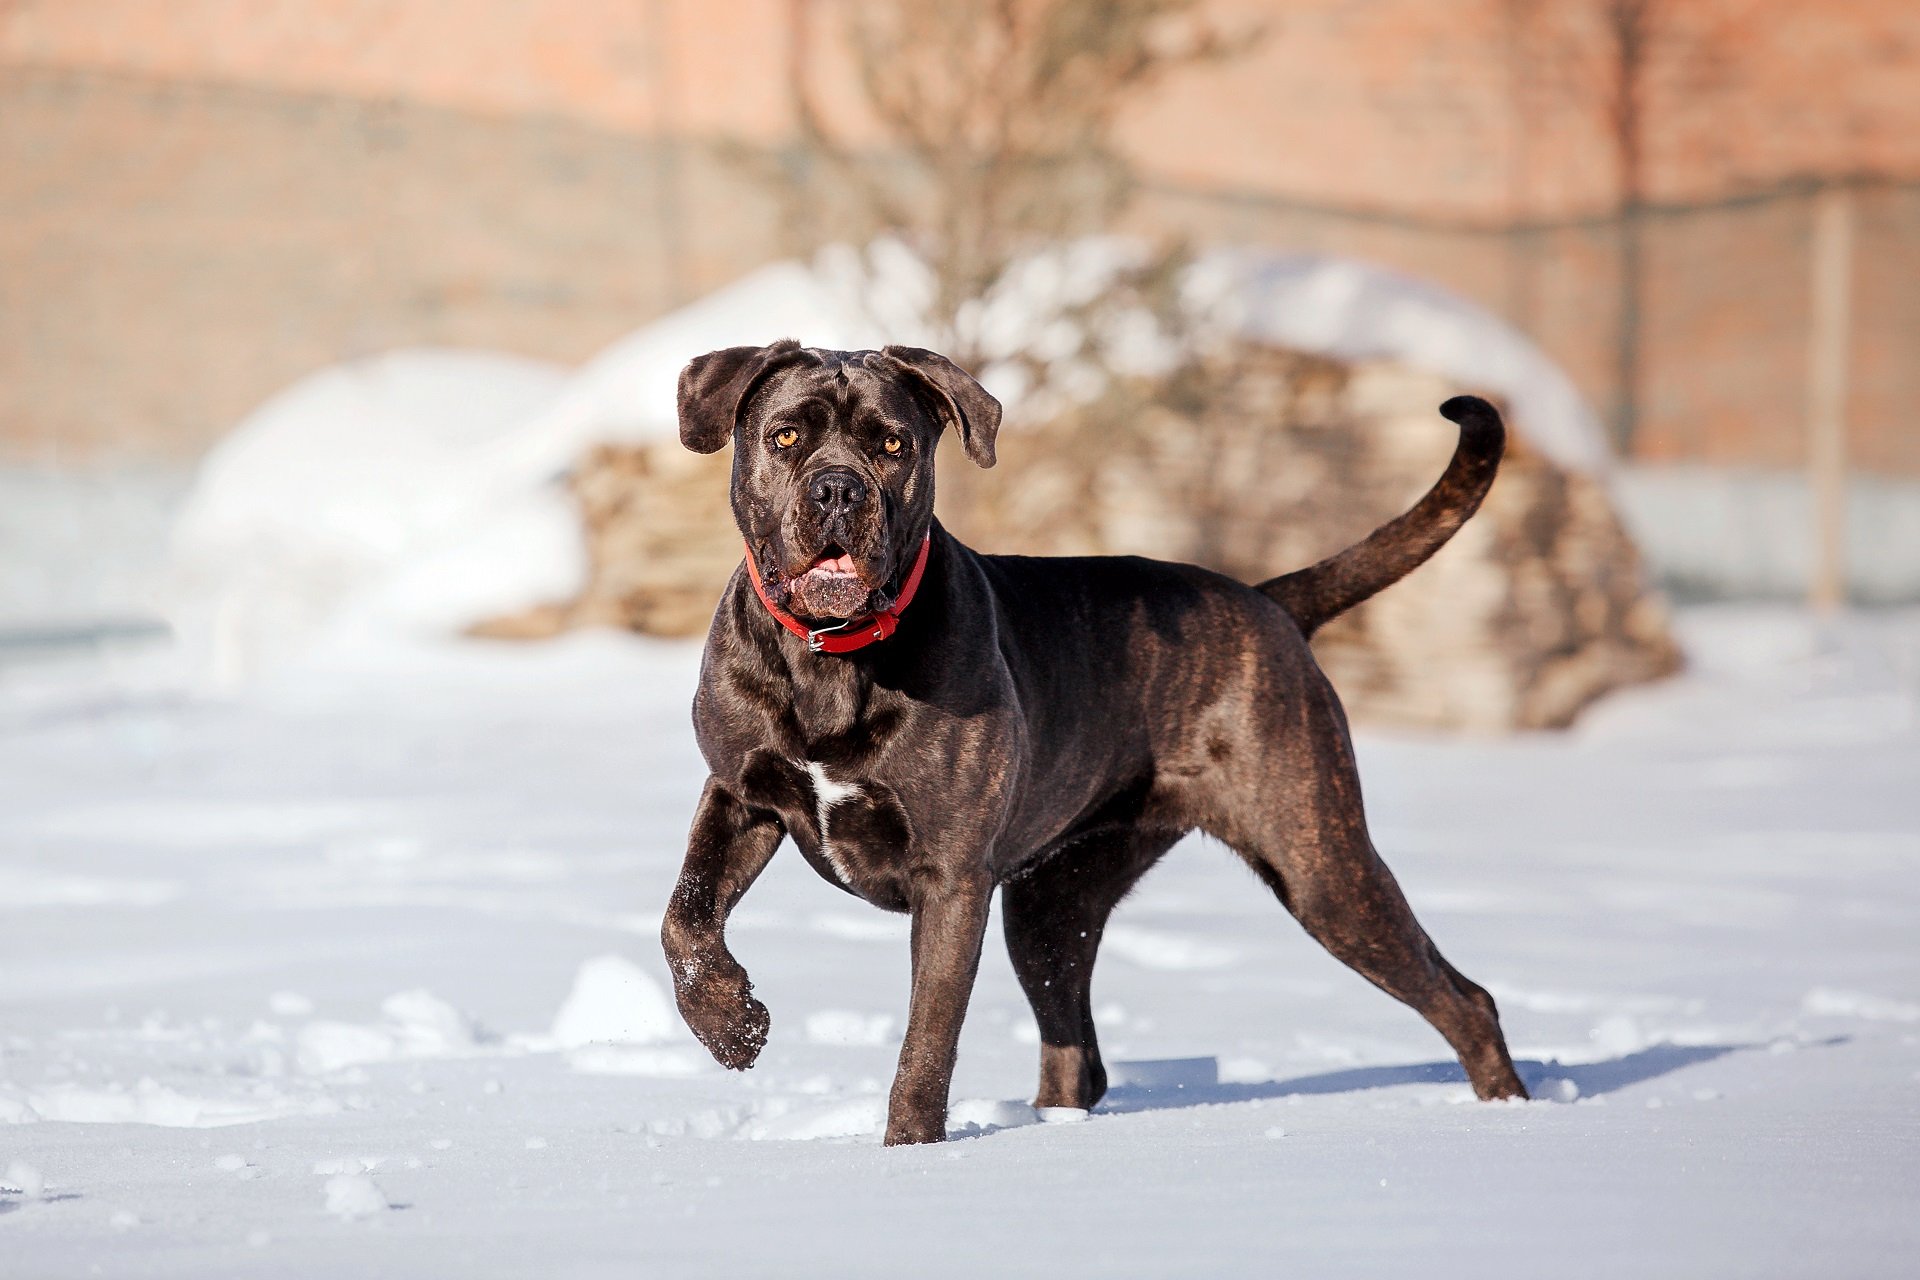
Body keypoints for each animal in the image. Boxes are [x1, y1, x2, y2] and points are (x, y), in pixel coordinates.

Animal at [660, 337, 1528, 1143]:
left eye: (893, 444)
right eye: (785, 436)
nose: (839, 486)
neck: (830, 657)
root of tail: (1270, 602)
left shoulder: (951, 879)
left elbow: (927, 1041)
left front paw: (908, 1150)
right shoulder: (739, 795)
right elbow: (685, 917)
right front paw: (733, 1029)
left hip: (1320, 864)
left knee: (1465, 998)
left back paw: (1512, 1111)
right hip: (1052, 904)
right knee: (1076, 1049)